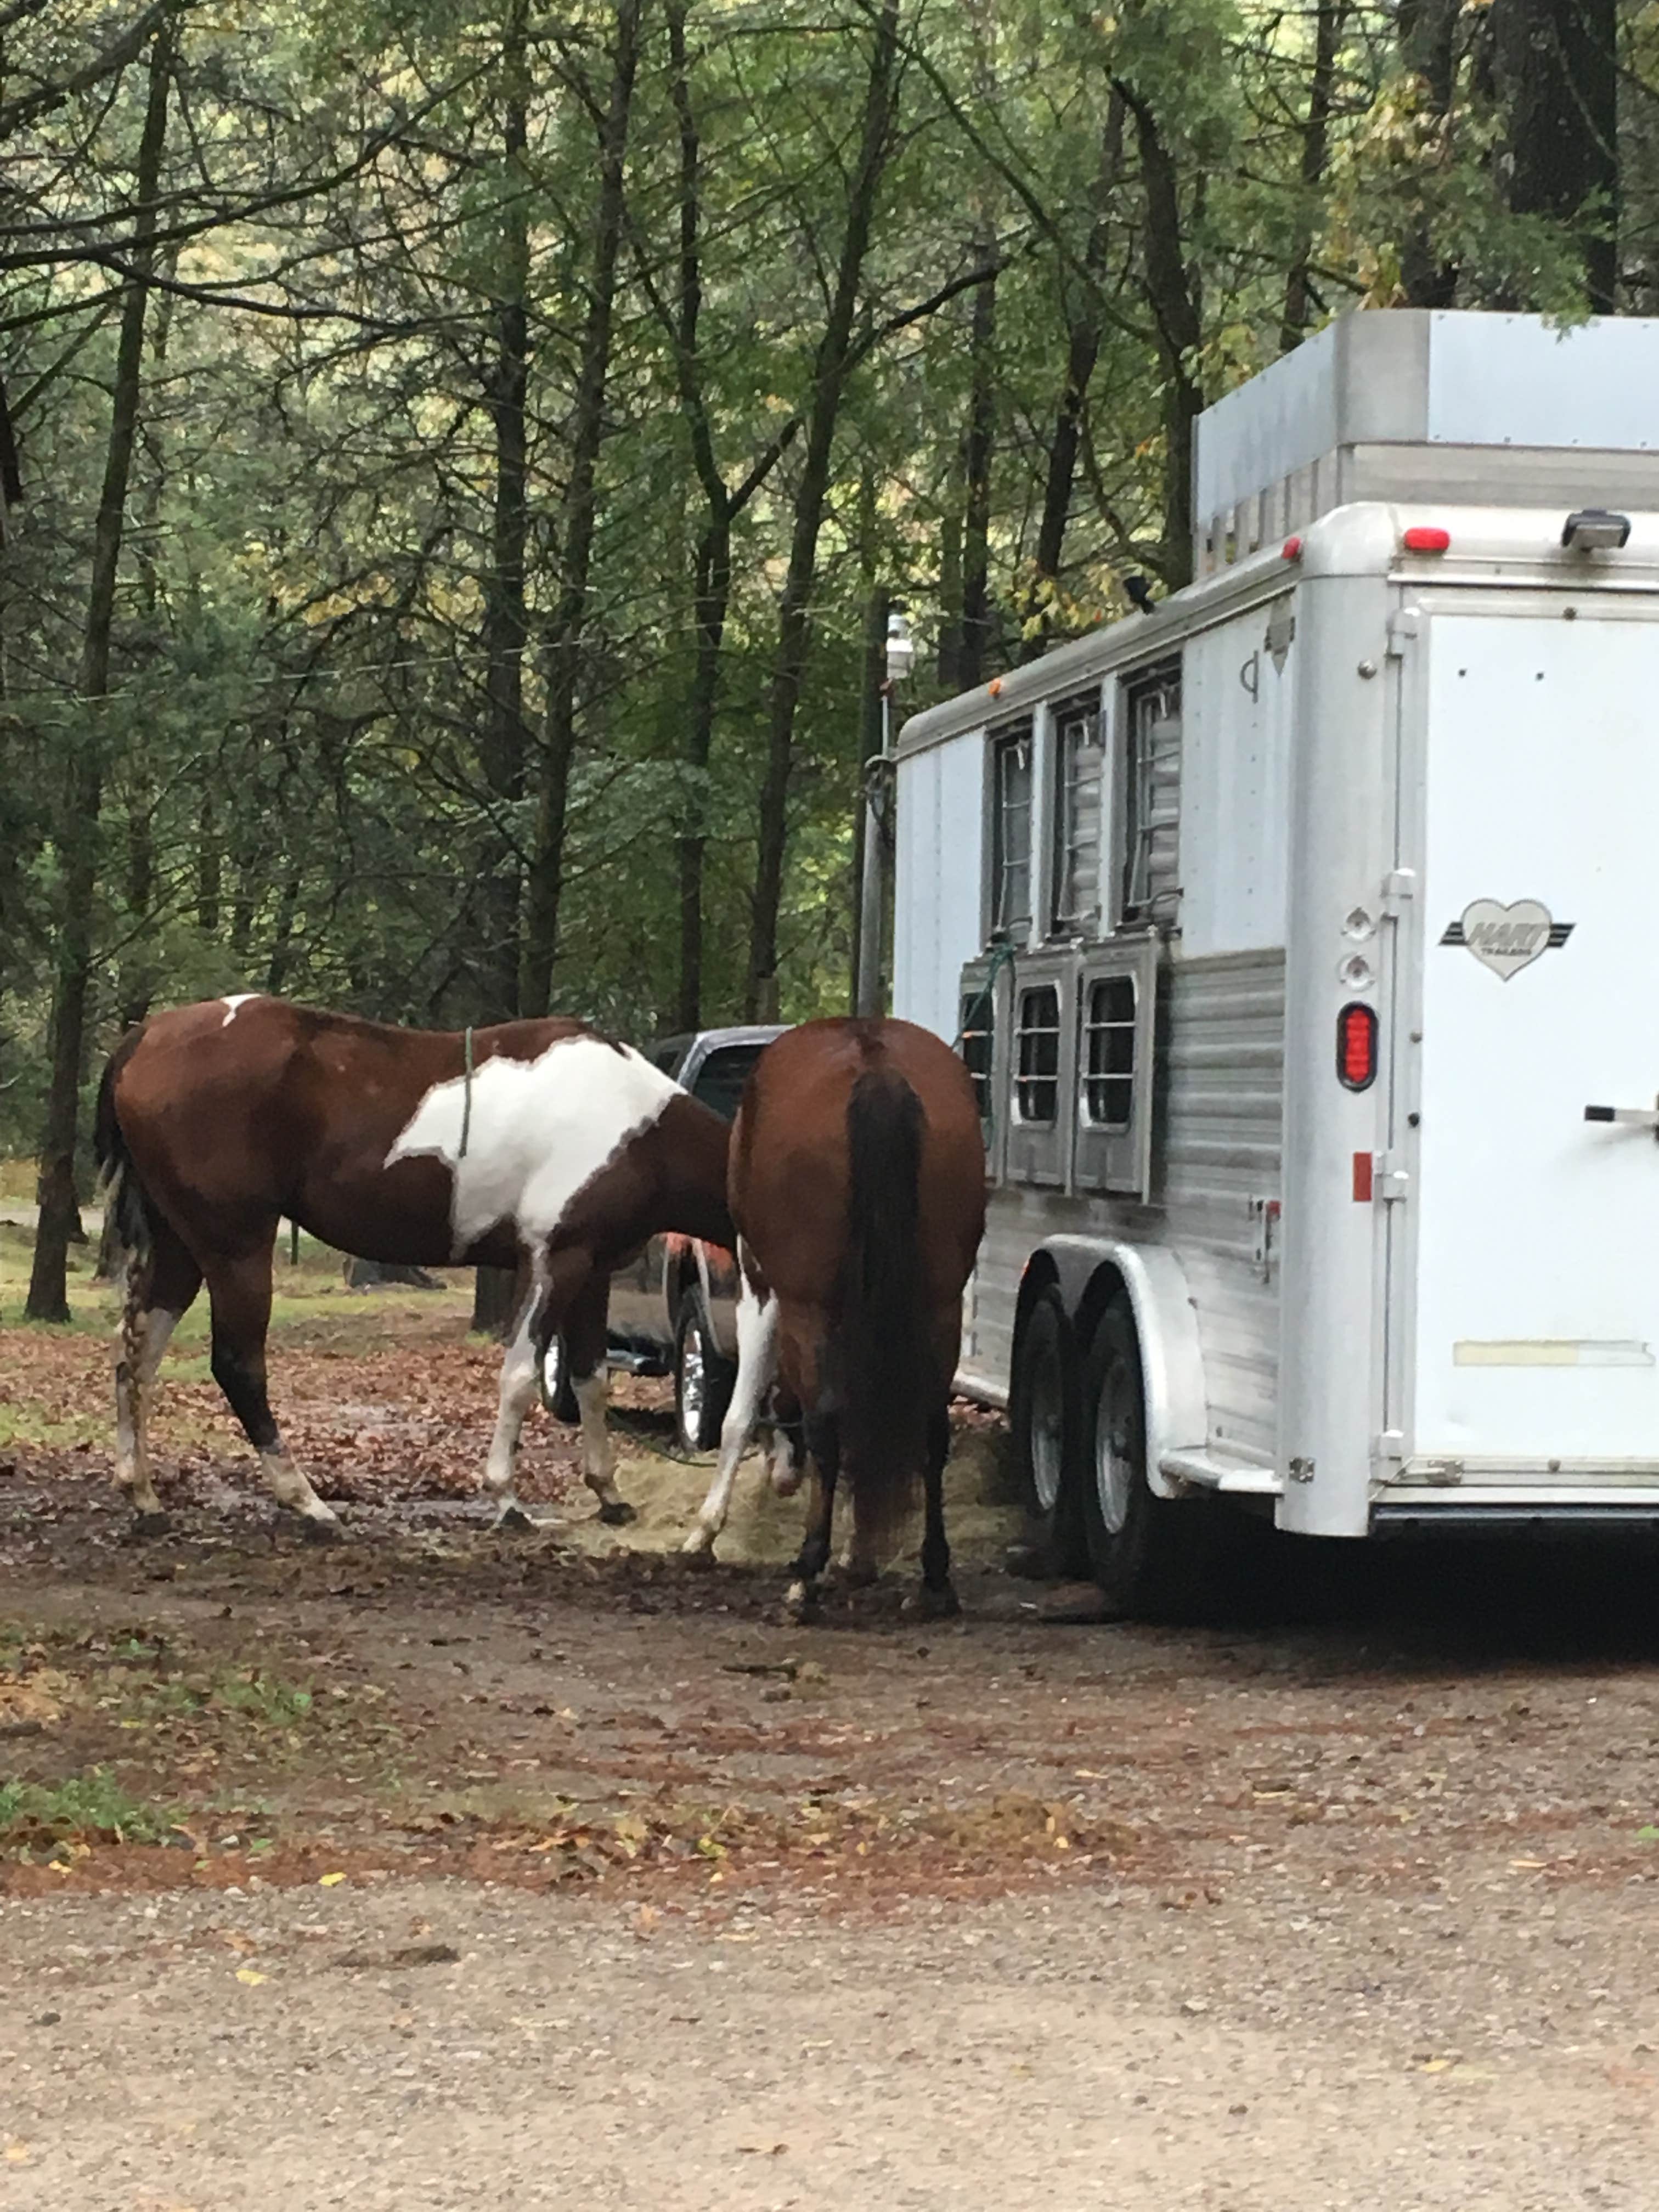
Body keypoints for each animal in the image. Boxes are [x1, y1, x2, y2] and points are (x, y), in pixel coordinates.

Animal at [95, 994, 733, 1537]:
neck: (629, 1119)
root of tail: (148, 1036)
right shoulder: (554, 1259)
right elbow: (522, 1375)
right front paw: (507, 1498)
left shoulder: (592, 1269)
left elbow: (590, 1378)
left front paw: (609, 1494)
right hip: (236, 1248)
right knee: (237, 1367)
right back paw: (306, 1501)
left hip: (181, 1247)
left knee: (136, 1360)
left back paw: (143, 1494)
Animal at [681, 1017, 985, 1618]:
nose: (783, 1475)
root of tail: (877, 1067)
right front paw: (860, 1554)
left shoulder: (762, 1290)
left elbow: (740, 1415)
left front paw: (706, 1532)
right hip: (940, 1304)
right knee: (931, 1429)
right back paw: (935, 1580)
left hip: (810, 1305)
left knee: (826, 1422)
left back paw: (806, 1575)